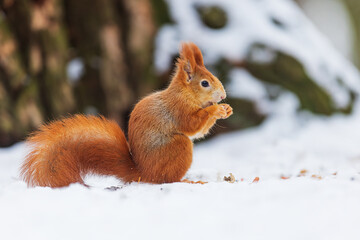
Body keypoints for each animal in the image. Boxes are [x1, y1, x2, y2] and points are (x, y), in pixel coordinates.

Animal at [19, 42, 233, 188]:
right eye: (205, 83)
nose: (223, 95)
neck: (185, 94)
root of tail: (143, 173)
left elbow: (200, 131)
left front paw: (226, 109)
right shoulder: (178, 109)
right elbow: (192, 125)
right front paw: (216, 110)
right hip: (178, 147)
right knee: (166, 179)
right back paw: (186, 181)